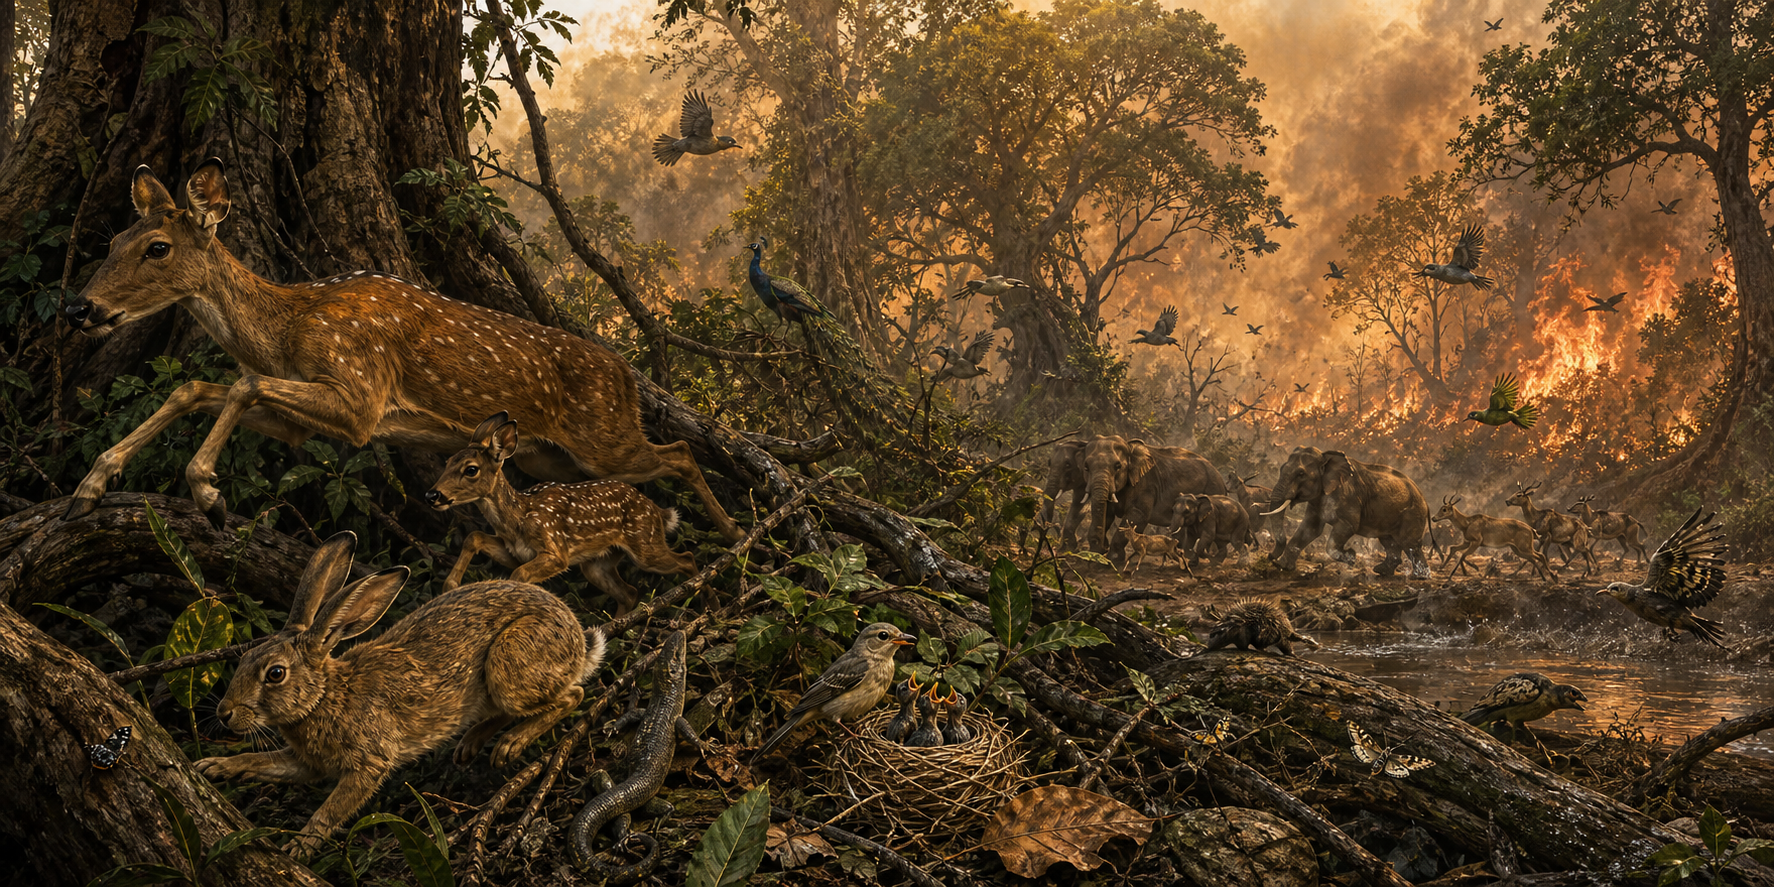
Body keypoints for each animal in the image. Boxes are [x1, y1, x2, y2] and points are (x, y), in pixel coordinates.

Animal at [57, 160, 743, 543]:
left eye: (156, 248)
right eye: (113, 240)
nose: (79, 309)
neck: (285, 331)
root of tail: (627, 374)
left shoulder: (361, 392)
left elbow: (239, 386)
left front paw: (206, 491)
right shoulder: (303, 417)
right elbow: (196, 387)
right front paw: (90, 485)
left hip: (605, 439)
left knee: (681, 453)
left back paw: (736, 533)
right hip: (553, 458)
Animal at [424, 412, 695, 616]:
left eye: (471, 469)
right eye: (448, 462)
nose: (432, 495)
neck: (519, 519)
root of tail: (656, 510)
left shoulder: (556, 549)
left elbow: (519, 573)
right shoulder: (514, 552)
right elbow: (475, 537)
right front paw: (450, 586)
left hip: (645, 546)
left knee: (687, 558)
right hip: (597, 563)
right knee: (629, 592)